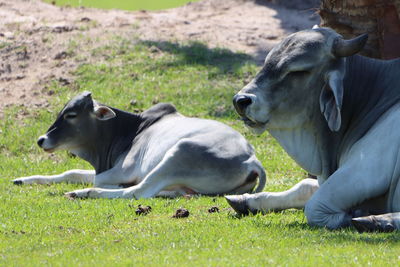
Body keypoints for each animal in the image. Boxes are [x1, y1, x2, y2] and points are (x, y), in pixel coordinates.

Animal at [12, 92, 266, 199]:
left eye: (71, 115)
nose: (41, 140)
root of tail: (251, 160)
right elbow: (71, 172)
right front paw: (22, 179)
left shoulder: (123, 169)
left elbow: (100, 180)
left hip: (178, 153)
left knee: (139, 191)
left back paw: (82, 193)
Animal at [227, 26, 400, 232]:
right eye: (268, 61)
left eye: (298, 71)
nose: (240, 101)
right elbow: (305, 186)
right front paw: (247, 200)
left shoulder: (367, 168)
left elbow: (315, 207)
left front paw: (356, 215)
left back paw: (379, 220)